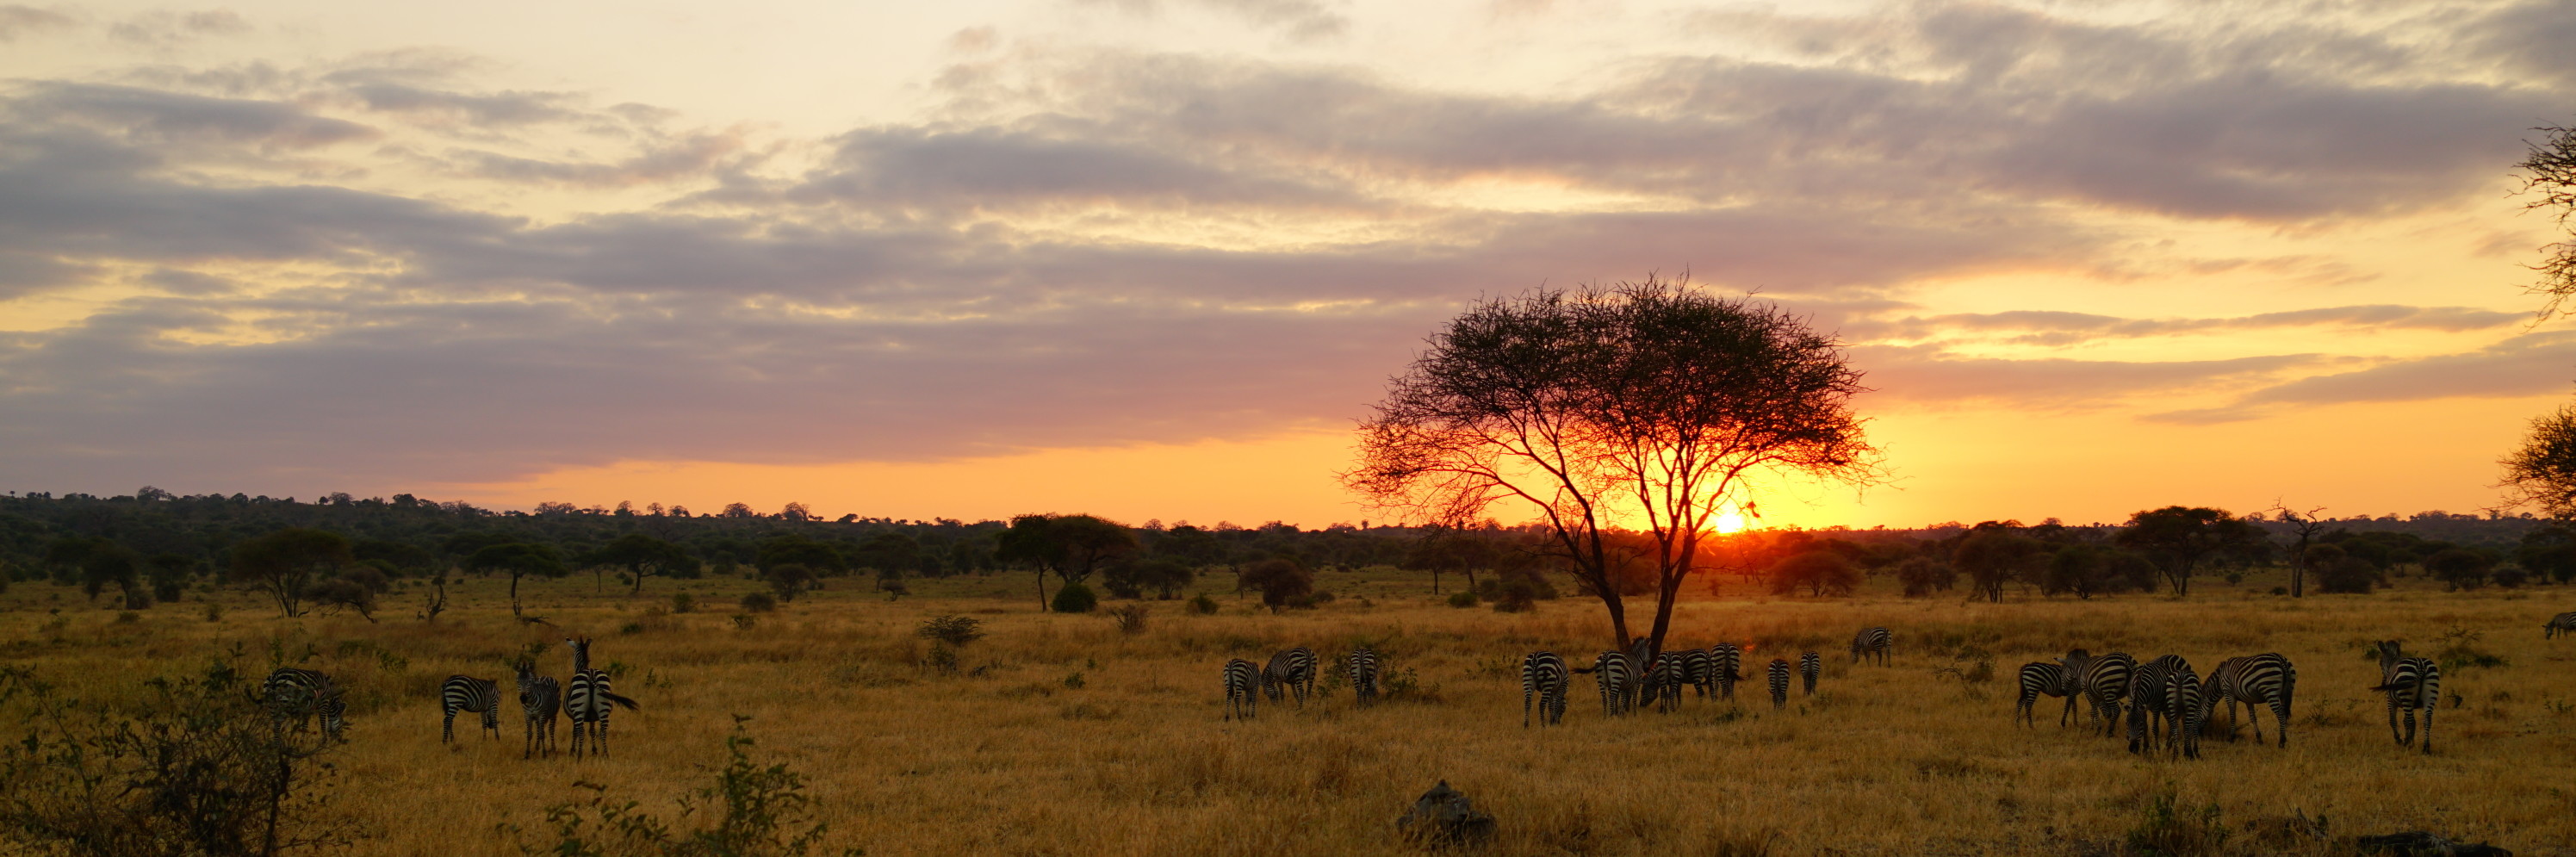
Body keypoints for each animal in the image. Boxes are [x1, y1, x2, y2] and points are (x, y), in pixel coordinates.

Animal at [564, 633, 638, 756]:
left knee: (581, 732)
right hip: (604, 707)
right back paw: (606, 754)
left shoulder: (574, 716)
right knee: (603, 732)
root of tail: (591, 675)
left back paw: (579, 755)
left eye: (572, 654)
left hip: (579, 709)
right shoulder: (592, 716)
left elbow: (575, 732)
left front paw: (572, 751)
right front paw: (594, 751)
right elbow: (592, 731)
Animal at [2369, 638, 2431, 751]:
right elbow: (2405, 721)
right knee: (2427, 720)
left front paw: (2399, 739)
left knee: (2412, 721)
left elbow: (2393, 720)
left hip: (2407, 694)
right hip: (2430, 695)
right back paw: (2426, 747)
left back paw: (2409, 744)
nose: (2383, 684)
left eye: (2380, 664)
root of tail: (2421, 666)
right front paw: (2406, 737)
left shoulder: (2390, 700)